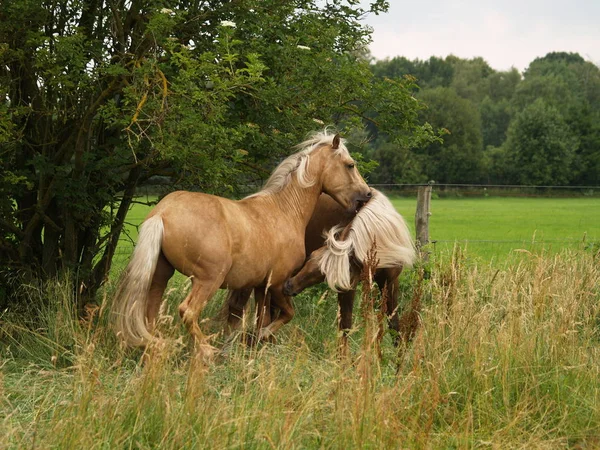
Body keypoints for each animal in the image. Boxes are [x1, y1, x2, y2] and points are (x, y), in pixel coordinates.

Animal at [112, 131, 370, 356]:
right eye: (350, 165)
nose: (366, 195)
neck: (284, 210)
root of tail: (162, 213)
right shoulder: (277, 283)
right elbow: (287, 314)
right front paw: (262, 337)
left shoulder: (260, 287)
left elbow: (262, 318)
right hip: (208, 280)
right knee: (188, 311)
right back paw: (207, 350)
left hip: (161, 276)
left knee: (149, 314)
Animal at [225, 190, 418, 344]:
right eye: (311, 258)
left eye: (323, 273)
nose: (289, 285)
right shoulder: (347, 287)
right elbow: (345, 326)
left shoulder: (389, 282)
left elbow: (394, 324)